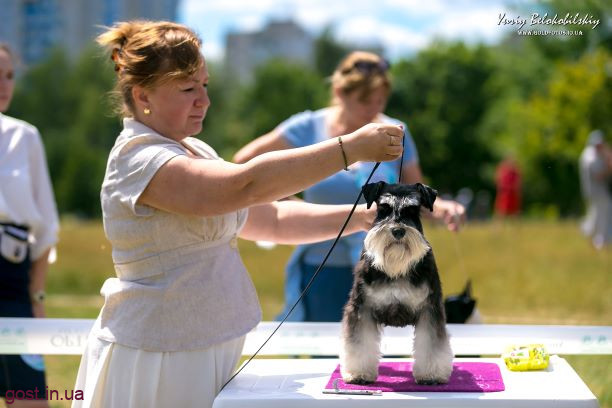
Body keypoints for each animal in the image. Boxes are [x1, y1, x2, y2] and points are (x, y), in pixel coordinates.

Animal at [340, 181, 453, 385]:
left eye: (413, 210)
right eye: (383, 209)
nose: (398, 231)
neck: (396, 268)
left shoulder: (429, 309)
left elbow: (431, 344)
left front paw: (431, 374)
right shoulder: (361, 309)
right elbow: (359, 343)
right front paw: (359, 373)